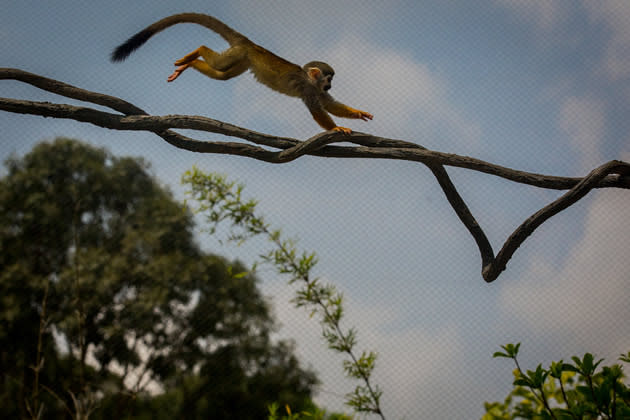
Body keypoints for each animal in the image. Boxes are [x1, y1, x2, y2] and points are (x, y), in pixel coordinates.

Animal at [112, 13, 376, 134]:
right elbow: (318, 110)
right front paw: (335, 129)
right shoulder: (307, 88)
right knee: (219, 63)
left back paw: (191, 62)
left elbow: (330, 105)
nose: (330, 84)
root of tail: (248, 43)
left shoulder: (315, 89)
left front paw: (357, 112)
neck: (311, 81)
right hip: (238, 54)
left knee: (223, 75)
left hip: (241, 60)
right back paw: (198, 51)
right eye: (328, 77)